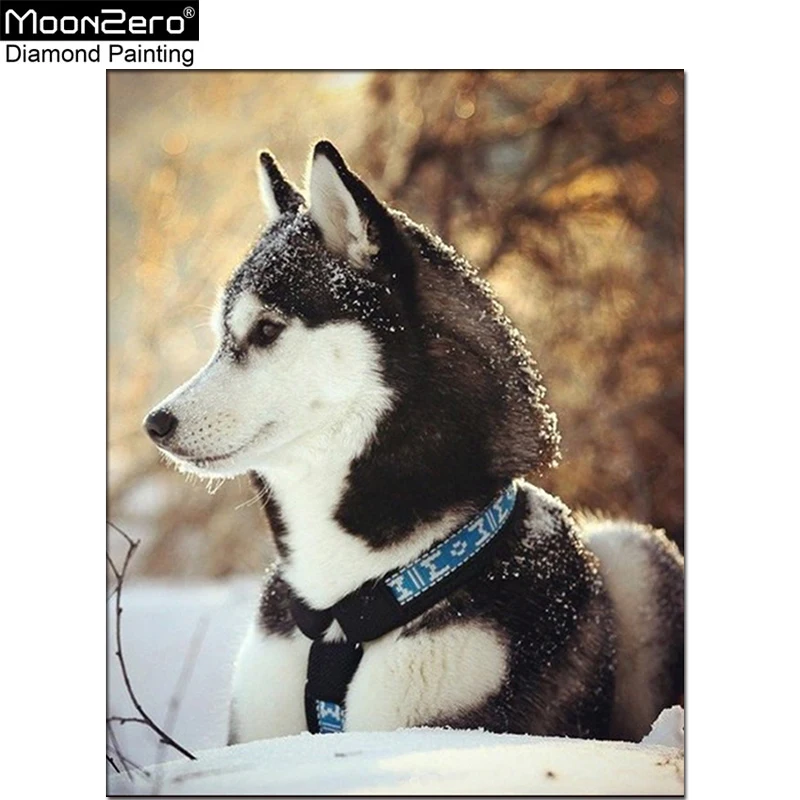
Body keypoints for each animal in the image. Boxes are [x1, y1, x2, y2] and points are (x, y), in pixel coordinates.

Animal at [144, 140, 684, 744]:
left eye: (266, 330)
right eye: (220, 337)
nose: (156, 424)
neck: (340, 605)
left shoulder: (433, 717)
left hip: (632, 549)